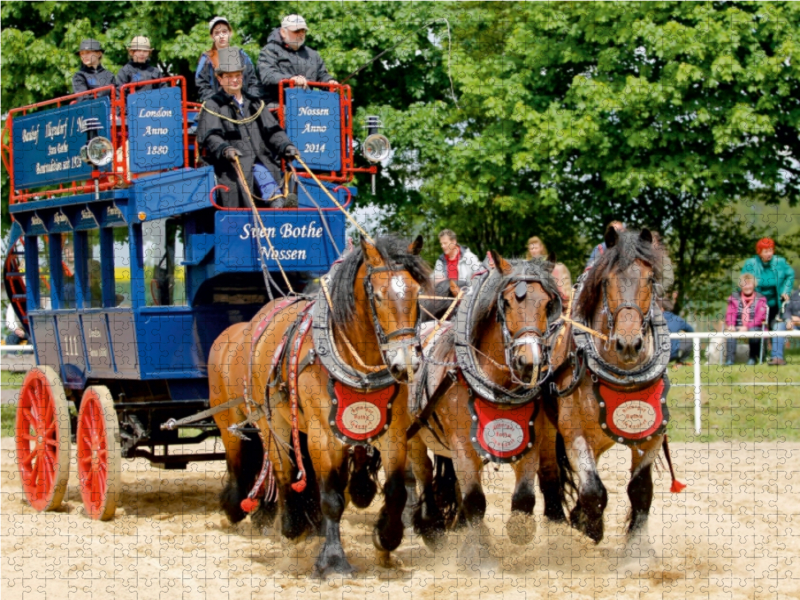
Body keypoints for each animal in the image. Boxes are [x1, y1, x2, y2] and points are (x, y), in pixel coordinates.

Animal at [406, 251, 564, 552]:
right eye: (507, 302)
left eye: (547, 303)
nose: (530, 362)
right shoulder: (462, 446)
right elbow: (475, 501)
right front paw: (479, 551)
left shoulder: (530, 439)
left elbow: (524, 499)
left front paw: (518, 530)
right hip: (413, 434)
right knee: (423, 472)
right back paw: (431, 528)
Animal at [536, 226, 676, 544]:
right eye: (606, 281)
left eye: (649, 279)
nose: (629, 344)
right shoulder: (574, 432)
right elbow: (593, 491)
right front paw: (590, 529)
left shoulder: (651, 435)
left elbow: (640, 490)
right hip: (547, 430)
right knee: (549, 475)